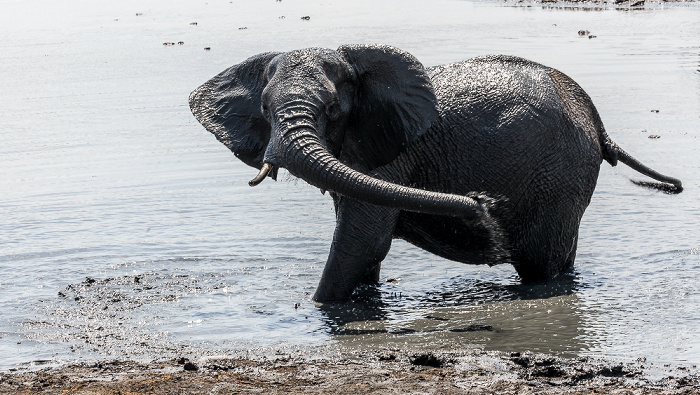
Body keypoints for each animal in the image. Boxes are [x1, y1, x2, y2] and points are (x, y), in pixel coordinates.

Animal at [189, 44, 680, 304]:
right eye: (264, 109)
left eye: (331, 110)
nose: (483, 204)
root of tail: (596, 121)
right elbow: (362, 245)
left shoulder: (387, 155)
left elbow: (361, 240)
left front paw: (311, 309)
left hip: (560, 175)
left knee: (542, 264)